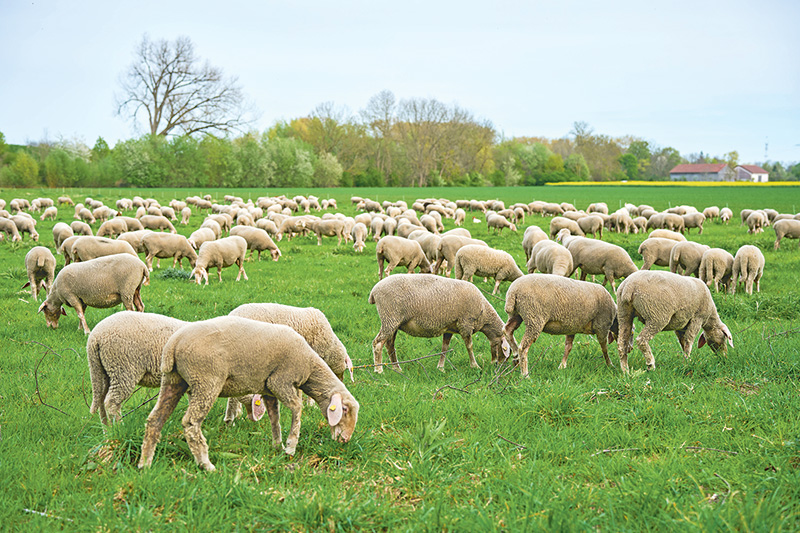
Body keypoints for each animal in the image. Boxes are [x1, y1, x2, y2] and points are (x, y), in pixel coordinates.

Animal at [138, 316, 360, 470]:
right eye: (345, 410)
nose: (345, 441)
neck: (310, 365)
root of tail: (173, 344)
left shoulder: (268, 389)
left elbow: (274, 418)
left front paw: (277, 445)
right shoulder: (281, 381)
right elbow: (297, 409)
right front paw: (290, 446)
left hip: (174, 380)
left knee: (155, 419)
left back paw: (145, 464)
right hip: (206, 380)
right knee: (191, 423)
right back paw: (205, 464)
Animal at [369, 274, 510, 373]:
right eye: (506, 349)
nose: (499, 366)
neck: (484, 313)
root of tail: (374, 291)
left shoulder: (449, 328)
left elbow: (444, 348)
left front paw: (440, 368)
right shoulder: (465, 324)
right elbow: (469, 346)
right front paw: (475, 366)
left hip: (394, 322)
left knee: (390, 345)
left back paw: (397, 368)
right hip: (390, 317)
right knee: (378, 343)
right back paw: (378, 370)